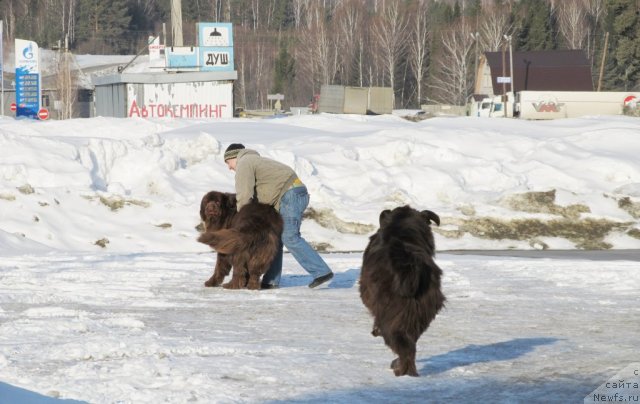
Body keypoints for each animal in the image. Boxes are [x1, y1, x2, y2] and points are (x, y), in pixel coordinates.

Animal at [360, 207, 444, 378]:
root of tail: (409, 265)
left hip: (390, 312)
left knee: (401, 344)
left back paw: (401, 370)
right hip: (421, 312)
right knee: (410, 344)